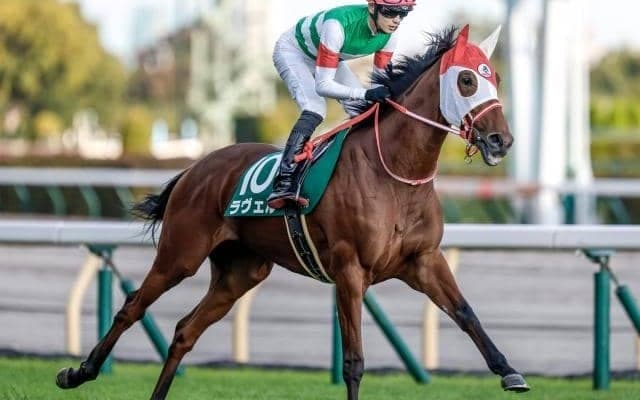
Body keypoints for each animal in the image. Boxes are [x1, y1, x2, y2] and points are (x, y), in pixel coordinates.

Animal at [56, 25, 528, 400]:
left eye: (497, 78)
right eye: (466, 80)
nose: (501, 141)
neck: (396, 174)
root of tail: (196, 166)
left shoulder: (423, 260)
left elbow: (466, 314)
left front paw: (510, 372)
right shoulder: (350, 269)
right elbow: (354, 360)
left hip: (241, 271)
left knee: (185, 332)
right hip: (181, 254)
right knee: (133, 306)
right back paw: (79, 372)